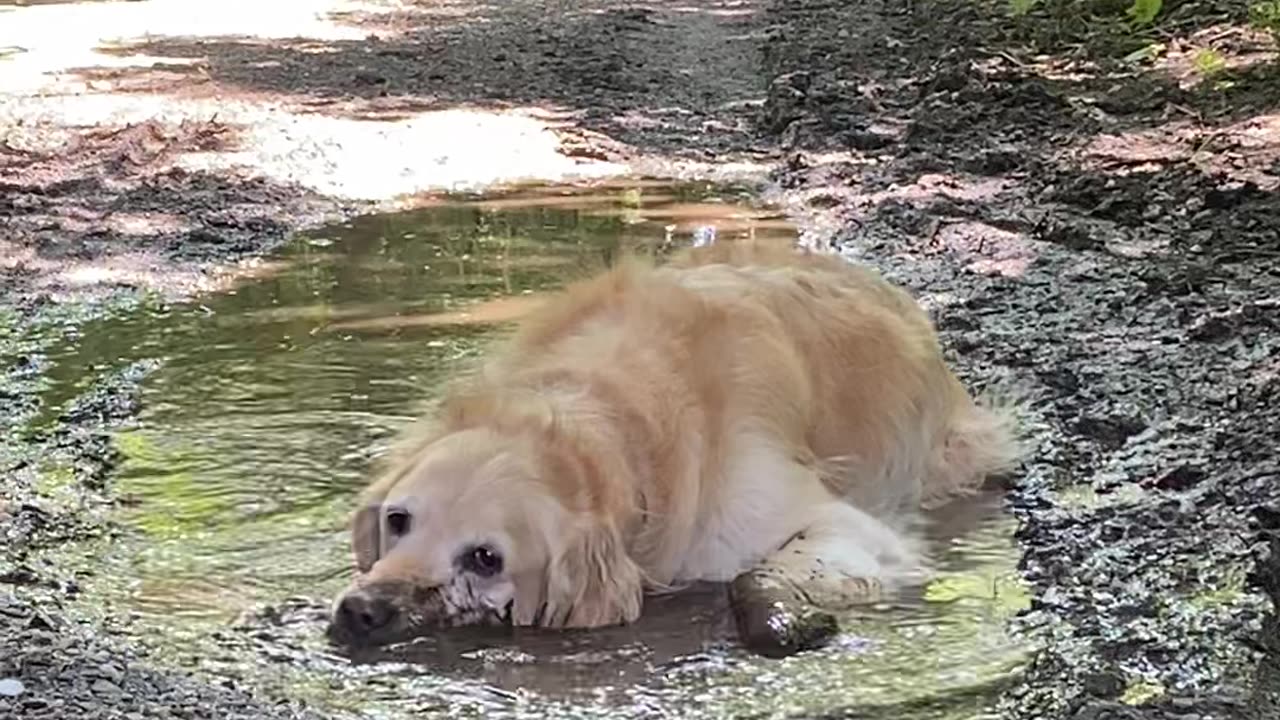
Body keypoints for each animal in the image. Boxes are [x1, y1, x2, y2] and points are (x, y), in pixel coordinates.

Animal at [327, 239, 1018, 645]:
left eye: (486, 558)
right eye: (397, 520)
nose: (360, 612)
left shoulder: (853, 529)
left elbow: (753, 573)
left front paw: (784, 620)